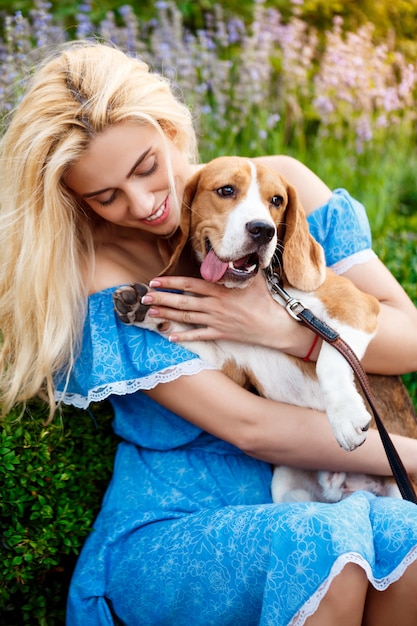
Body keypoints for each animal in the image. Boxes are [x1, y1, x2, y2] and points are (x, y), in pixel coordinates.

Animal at [114, 156, 404, 502]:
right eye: (226, 190)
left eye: (277, 200)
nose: (263, 230)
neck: (259, 287)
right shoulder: (233, 363)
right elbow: (180, 329)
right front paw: (144, 309)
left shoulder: (357, 306)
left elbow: (330, 357)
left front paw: (345, 416)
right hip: (287, 487)